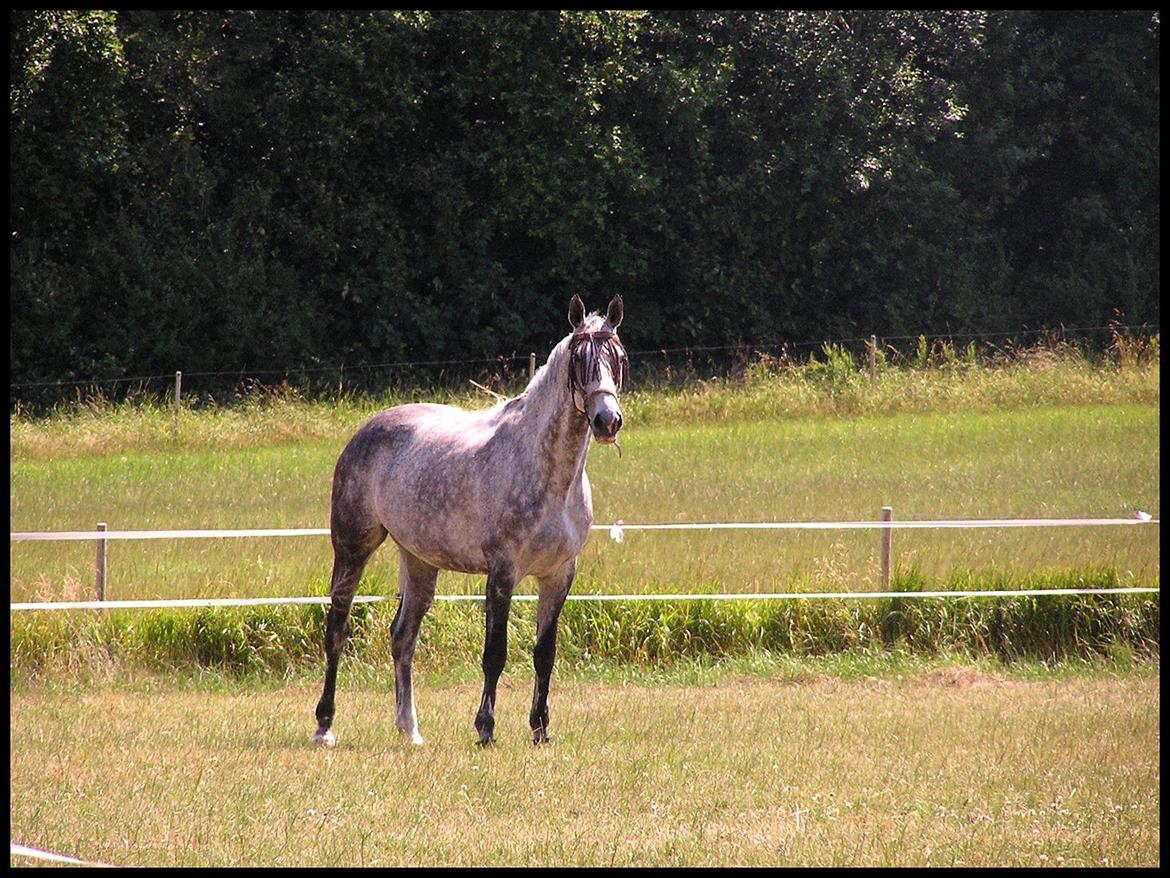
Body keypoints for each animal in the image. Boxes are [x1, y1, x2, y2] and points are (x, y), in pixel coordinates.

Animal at [311, 297, 622, 749]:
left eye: (619, 358)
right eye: (579, 361)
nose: (607, 421)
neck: (548, 473)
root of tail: (366, 430)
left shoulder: (559, 574)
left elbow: (544, 654)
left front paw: (540, 730)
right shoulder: (503, 572)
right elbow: (495, 653)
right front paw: (486, 728)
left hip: (419, 560)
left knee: (402, 638)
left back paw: (411, 730)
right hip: (353, 548)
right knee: (337, 628)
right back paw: (325, 726)